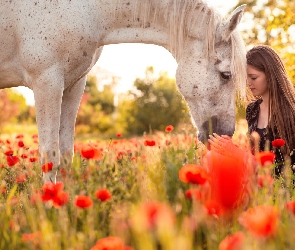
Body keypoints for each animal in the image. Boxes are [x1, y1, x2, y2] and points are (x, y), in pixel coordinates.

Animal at [0, 0, 247, 182]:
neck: (86, 9)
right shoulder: (47, 81)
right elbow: (49, 155)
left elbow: (66, 153)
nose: (225, 134)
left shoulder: (73, 84)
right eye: (226, 75)